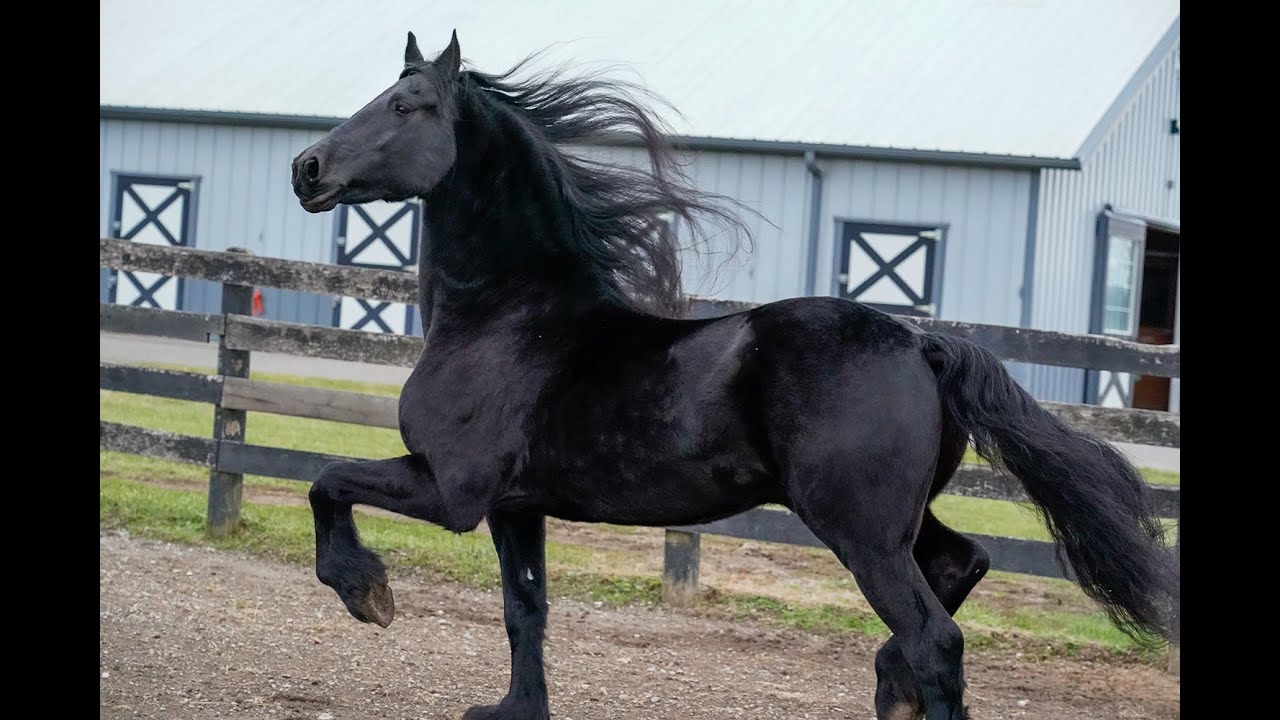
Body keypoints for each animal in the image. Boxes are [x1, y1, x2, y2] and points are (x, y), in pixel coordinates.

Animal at [293, 30, 1177, 717]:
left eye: (406, 106)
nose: (307, 168)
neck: (505, 318)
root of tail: (918, 343)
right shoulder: (516, 507)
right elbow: (526, 610)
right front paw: (516, 709)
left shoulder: (453, 492)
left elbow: (326, 480)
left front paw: (367, 592)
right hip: (901, 519)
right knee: (961, 567)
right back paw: (888, 686)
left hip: (858, 528)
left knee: (937, 638)